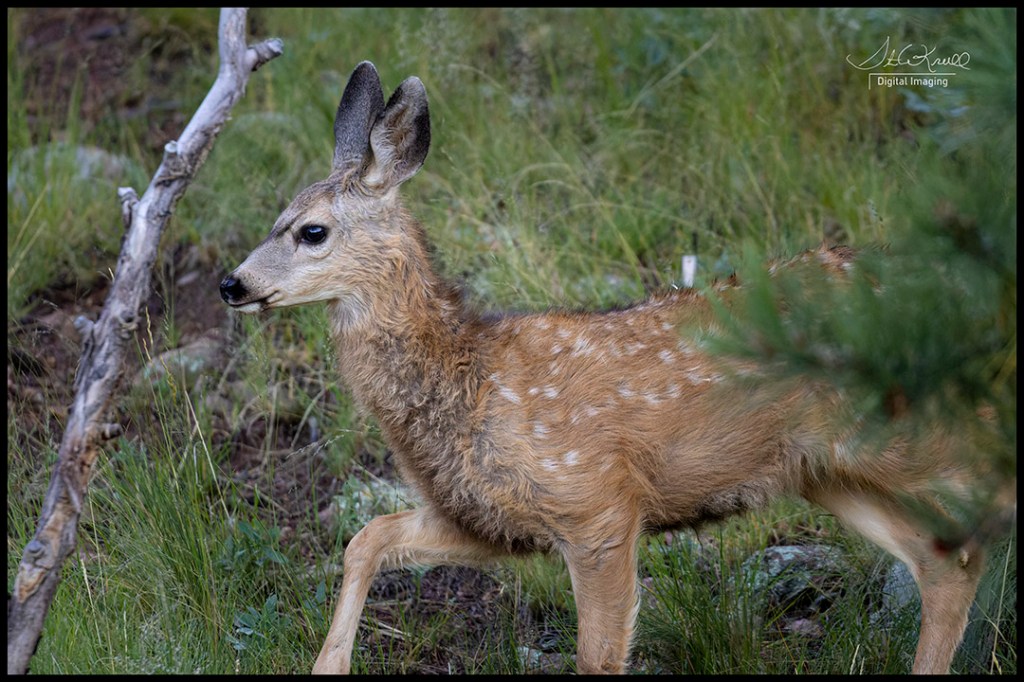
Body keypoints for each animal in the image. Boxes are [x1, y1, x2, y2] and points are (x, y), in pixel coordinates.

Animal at [220, 61, 996, 674]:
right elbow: (367, 538)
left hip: (911, 432)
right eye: (279, 215)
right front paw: (328, 665)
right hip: (829, 470)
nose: (232, 283)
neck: (469, 381)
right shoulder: (488, 518)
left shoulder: (595, 503)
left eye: (311, 231)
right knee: (945, 560)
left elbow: (598, 655)